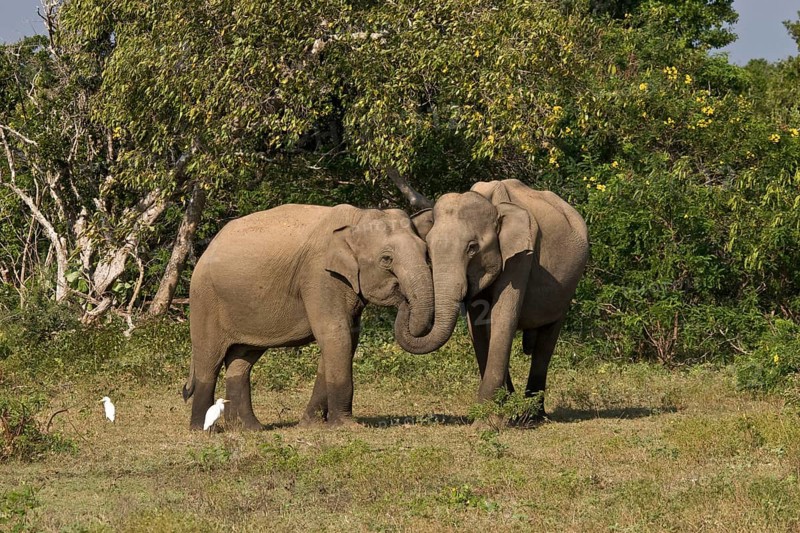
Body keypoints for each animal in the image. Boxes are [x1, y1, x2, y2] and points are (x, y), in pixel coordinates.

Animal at [183, 204, 433, 430]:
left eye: (426, 252)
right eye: (386, 259)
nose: (403, 296)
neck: (356, 217)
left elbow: (347, 339)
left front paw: (309, 425)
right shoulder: (319, 275)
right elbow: (335, 334)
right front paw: (346, 426)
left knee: (242, 360)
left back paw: (250, 428)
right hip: (205, 300)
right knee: (209, 359)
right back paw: (202, 428)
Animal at [394, 179, 589, 419]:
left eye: (472, 248)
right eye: (428, 250)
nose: (402, 298)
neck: (493, 204)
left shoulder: (522, 255)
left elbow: (503, 316)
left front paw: (487, 418)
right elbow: (477, 325)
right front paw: (498, 408)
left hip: (569, 286)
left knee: (546, 341)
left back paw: (533, 416)